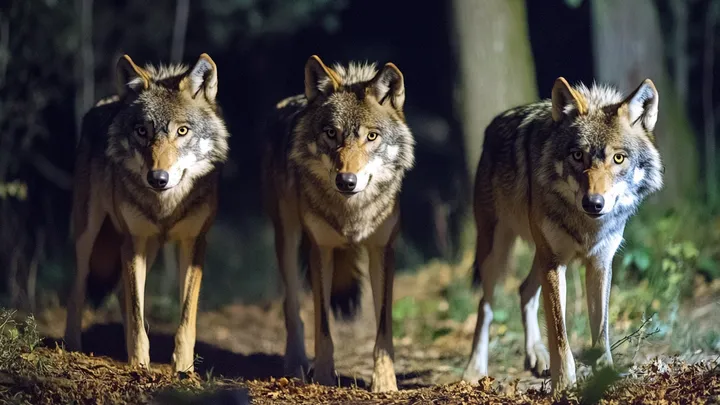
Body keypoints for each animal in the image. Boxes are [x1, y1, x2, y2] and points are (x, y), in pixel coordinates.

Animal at [63, 53, 229, 373]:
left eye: (182, 131)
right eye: (142, 131)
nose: (158, 178)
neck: (165, 204)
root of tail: (111, 99)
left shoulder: (193, 243)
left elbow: (186, 315)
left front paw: (183, 368)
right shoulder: (133, 240)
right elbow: (137, 311)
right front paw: (139, 364)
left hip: (150, 249)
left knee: (120, 292)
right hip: (87, 235)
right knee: (78, 290)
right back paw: (72, 347)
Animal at [261, 55, 415, 392]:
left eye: (372, 136)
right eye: (332, 133)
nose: (347, 181)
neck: (351, 213)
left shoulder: (382, 251)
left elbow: (383, 327)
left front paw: (385, 382)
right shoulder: (321, 250)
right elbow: (322, 327)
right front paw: (322, 377)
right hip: (287, 238)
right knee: (292, 308)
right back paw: (296, 364)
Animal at [461, 77, 663, 392]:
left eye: (618, 158)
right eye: (577, 155)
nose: (594, 203)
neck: (586, 225)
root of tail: (495, 123)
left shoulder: (599, 263)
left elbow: (601, 330)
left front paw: (605, 376)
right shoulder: (555, 264)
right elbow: (560, 334)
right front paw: (564, 384)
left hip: (539, 255)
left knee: (524, 290)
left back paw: (536, 355)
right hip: (497, 253)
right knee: (485, 305)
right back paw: (474, 369)